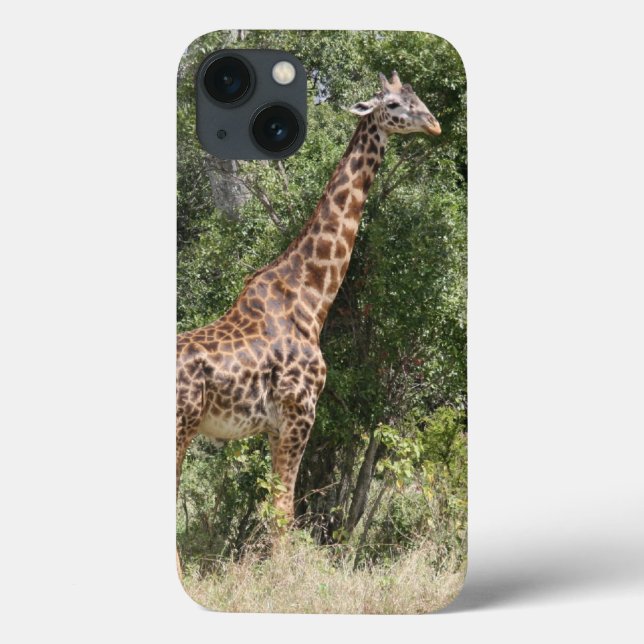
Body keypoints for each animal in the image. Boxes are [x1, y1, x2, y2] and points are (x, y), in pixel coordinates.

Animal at [176, 71, 440, 535]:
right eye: (392, 104)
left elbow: (275, 508)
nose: (435, 125)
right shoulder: (300, 413)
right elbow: (285, 511)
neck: (311, 298)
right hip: (180, 426)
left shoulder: (273, 426)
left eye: (417, 97)